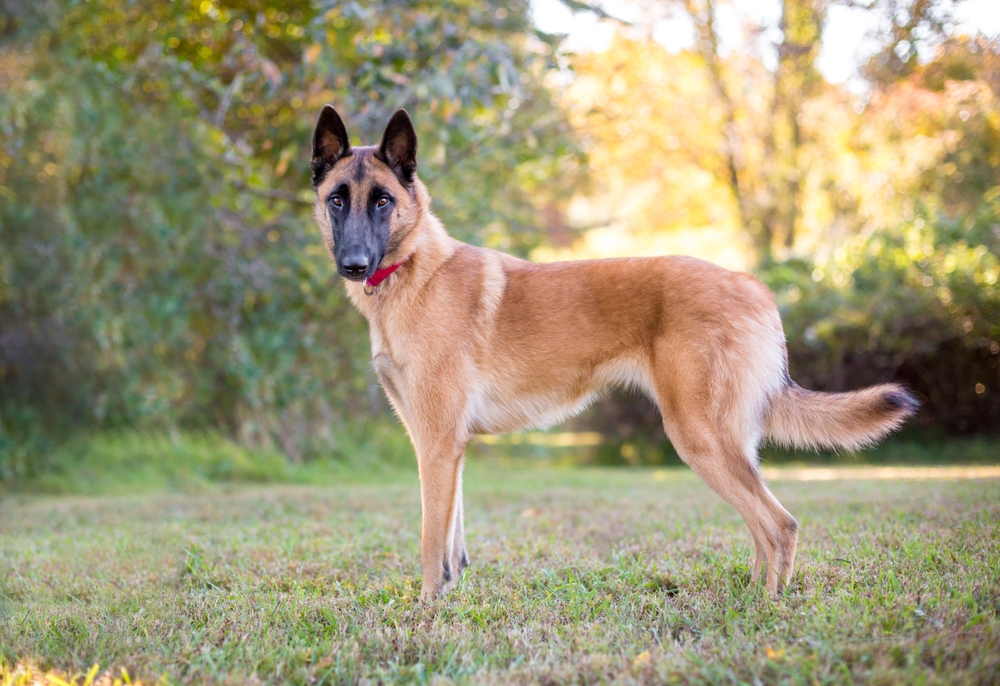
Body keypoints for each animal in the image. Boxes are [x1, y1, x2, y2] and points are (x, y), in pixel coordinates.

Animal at [308, 105, 916, 600]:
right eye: (337, 200)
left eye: (383, 201)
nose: (354, 265)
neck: (411, 270)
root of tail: (754, 286)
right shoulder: (445, 446)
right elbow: (453, 542)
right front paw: (452, 596)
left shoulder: (436, 445)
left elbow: (431, 543)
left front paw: (429, 610)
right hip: (726, 442)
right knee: (763, 528)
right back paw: (751, 592)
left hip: (699, 437)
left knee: (780, 525)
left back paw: (765, 608)